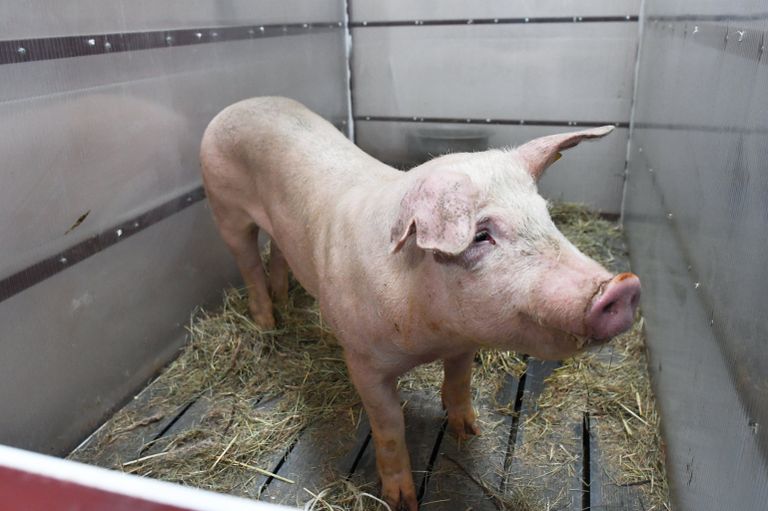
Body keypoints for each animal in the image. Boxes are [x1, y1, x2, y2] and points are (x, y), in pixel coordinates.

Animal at [200, 97, 640, 511]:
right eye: (481, 235)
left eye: (547, 217)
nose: (623, 287)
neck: (430, 334)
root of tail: (238, 105)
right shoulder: (362, 360)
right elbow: (389, 426)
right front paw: (401, 501)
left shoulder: (463, 342)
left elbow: (460, 382)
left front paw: (470, 431)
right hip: (224, 209)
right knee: (248, 263)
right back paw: (267, 322)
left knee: (277, 253)